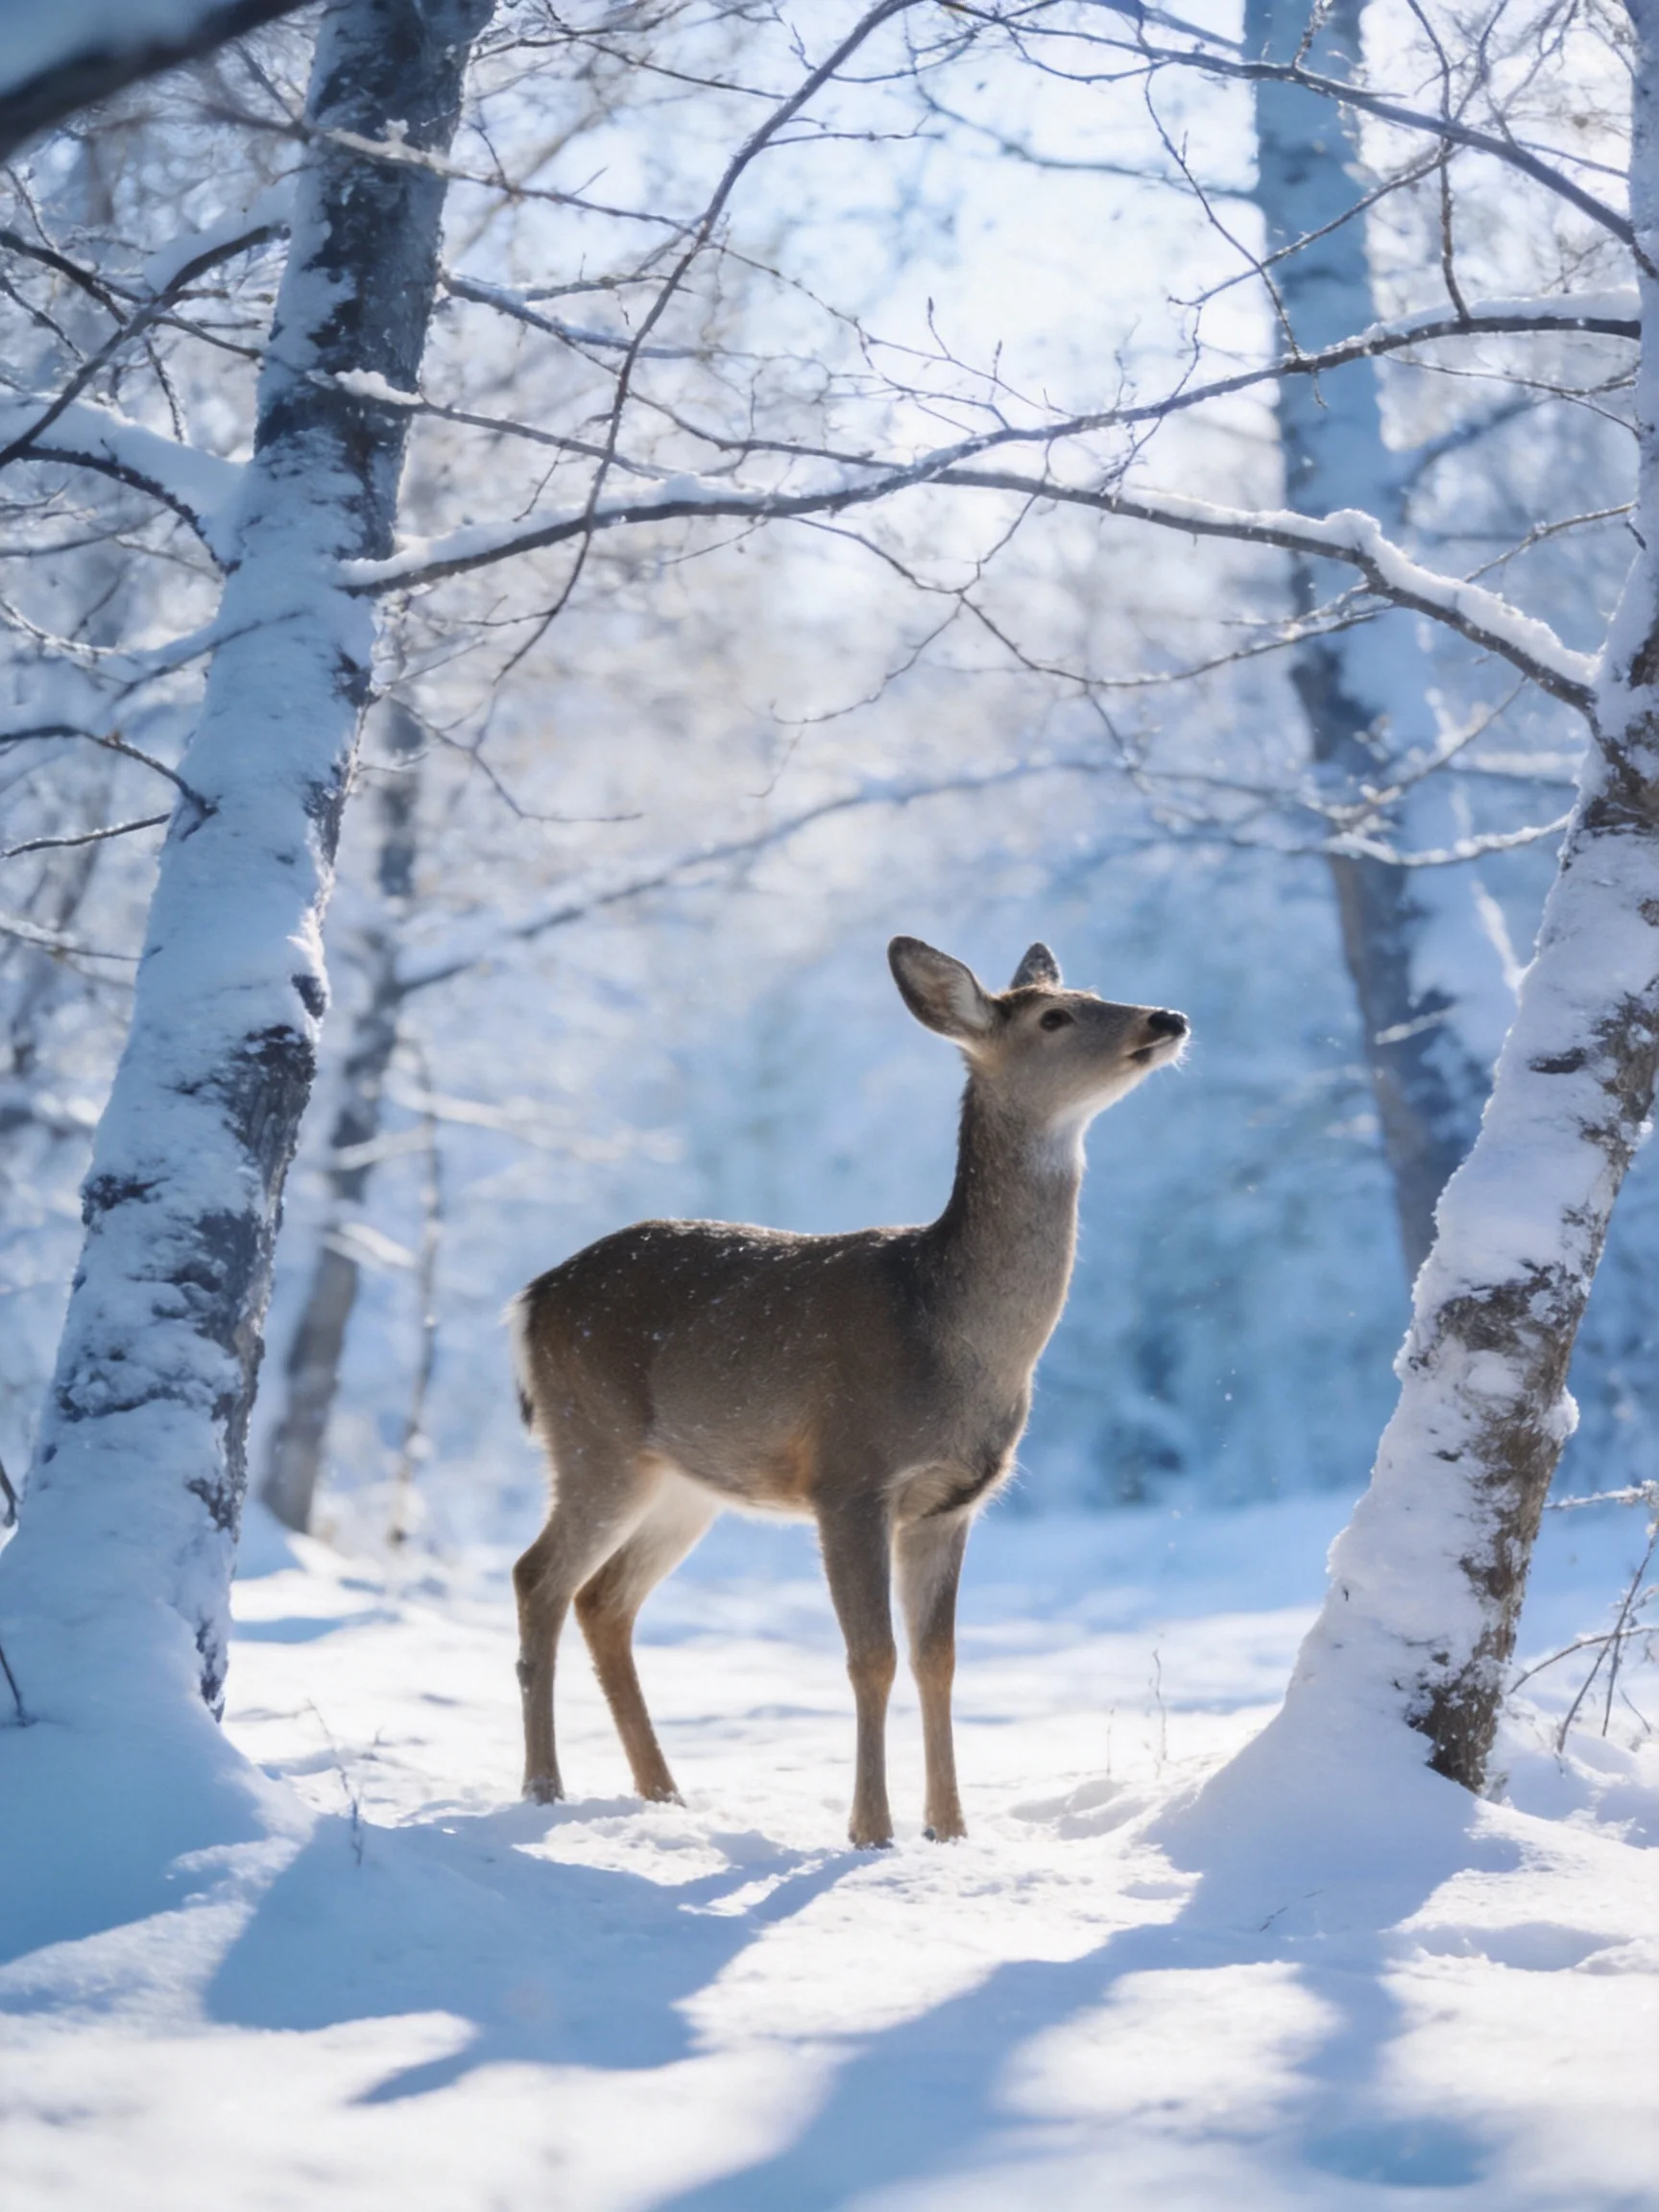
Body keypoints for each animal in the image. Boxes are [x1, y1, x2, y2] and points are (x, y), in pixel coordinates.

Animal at [509, 936, 1188, 1846]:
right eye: (1054, 1016)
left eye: (1100, 992)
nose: (1167, 1017)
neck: (950, 1336)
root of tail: (532, 1298)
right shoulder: (849, 1476)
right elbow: (873, 1656)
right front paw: (871, 1830)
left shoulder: (951, 1502)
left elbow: (939, 1659)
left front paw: (950, 1829)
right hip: (594, 1440)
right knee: (538, 1578)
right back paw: (544, 1787)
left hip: (685, 1483)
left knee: (603, 1601)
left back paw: (663, 1794)